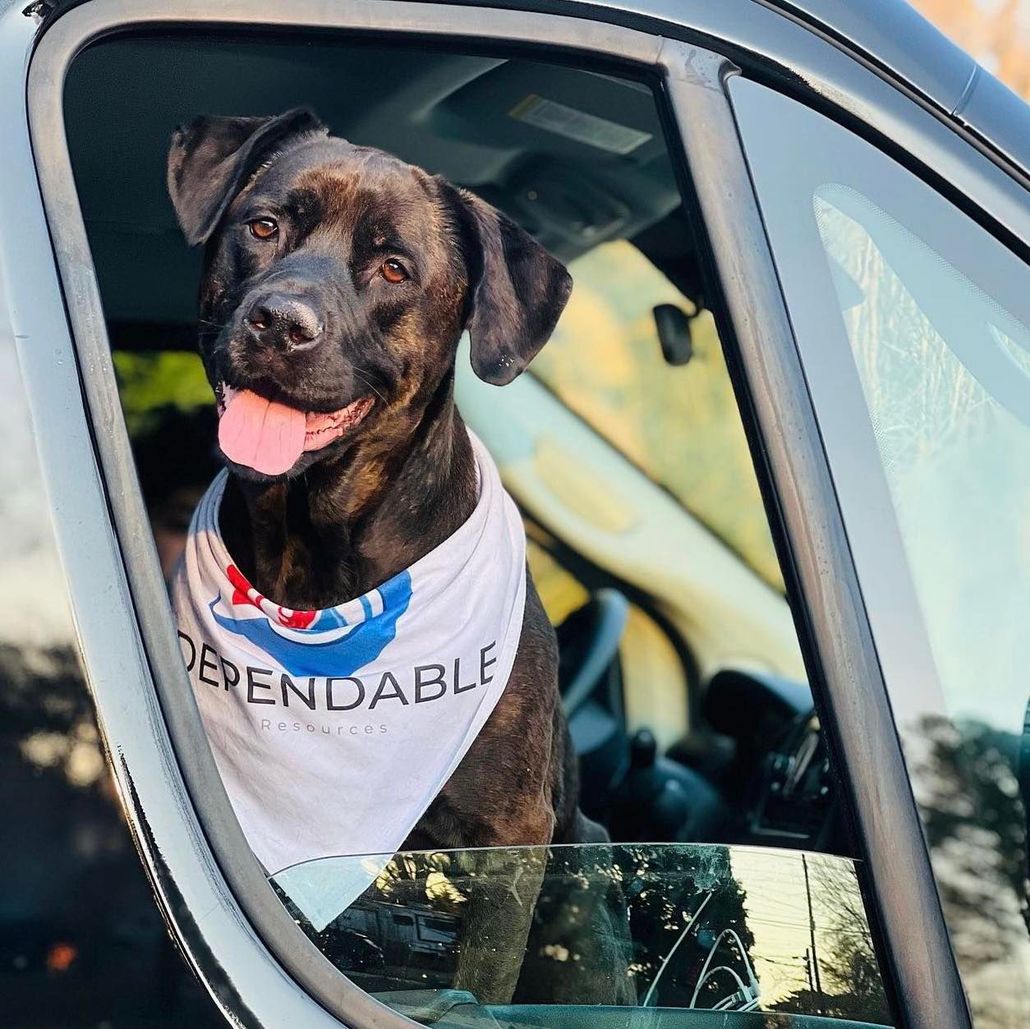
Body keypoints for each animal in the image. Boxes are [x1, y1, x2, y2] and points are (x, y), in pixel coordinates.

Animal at [165, 110, 613, 997]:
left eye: (395, 268)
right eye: (263, 226)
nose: (281, 321)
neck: (314, 545)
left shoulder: (510, 836)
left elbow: (481, 983)